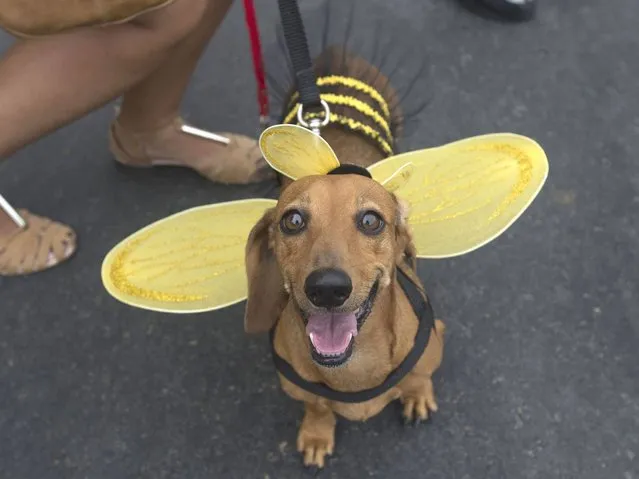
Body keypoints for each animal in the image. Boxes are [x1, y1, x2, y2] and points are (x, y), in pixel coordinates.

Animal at [242, 47, 448, 468]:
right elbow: (318, 407)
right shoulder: (301, 390)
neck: (353, 369)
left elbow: (419, 378)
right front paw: (317, 434)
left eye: (371, 220)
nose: (327, 288)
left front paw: (418, 396)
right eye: (292, 220)